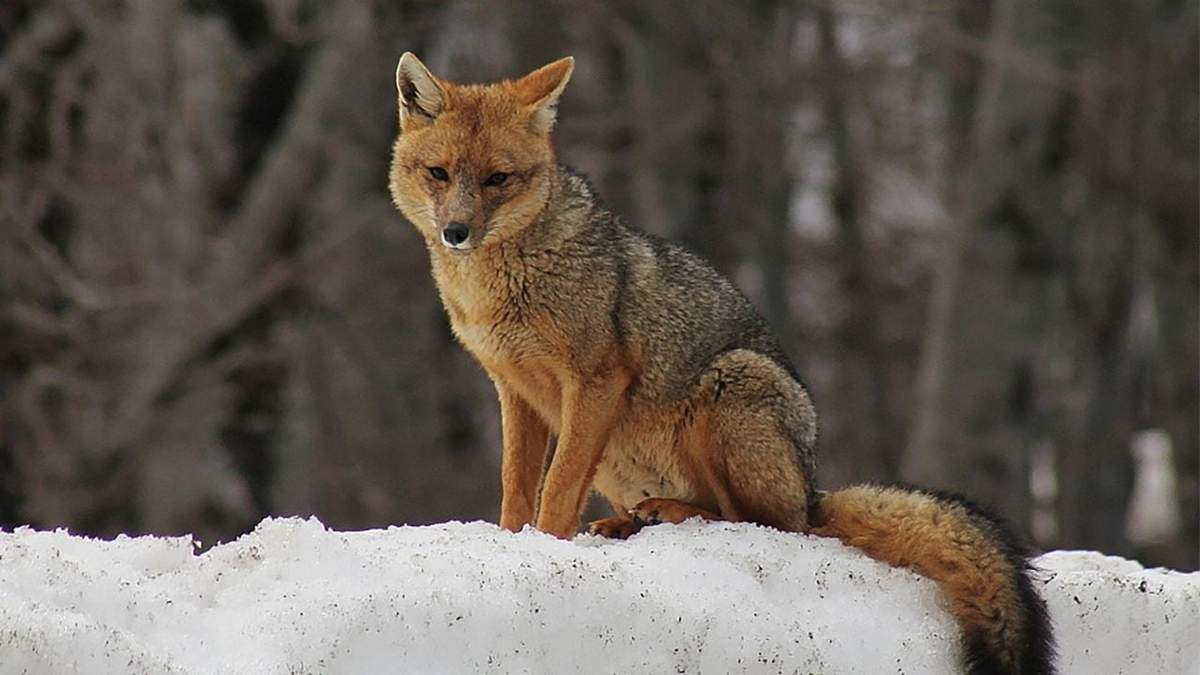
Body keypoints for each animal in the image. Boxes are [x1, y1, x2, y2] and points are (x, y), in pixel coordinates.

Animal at [388, 52, 1055, 675]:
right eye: (439, 173)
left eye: (497, 179)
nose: (455, 231)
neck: (496, 289)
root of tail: (813, 488)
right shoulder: (516, 389)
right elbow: (516, 487)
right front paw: (511, 544)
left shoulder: (596, 380)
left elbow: (555, 488)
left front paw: (547, 549)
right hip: (623, 461)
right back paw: (631, 523)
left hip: (729, 390)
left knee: (766, 525)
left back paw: (674, 513)